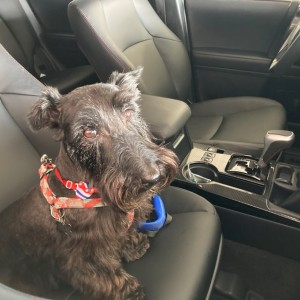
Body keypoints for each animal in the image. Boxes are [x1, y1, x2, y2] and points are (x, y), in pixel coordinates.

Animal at [0, 69, 178, 298]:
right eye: (89, 132)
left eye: (129, 112)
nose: (152, 176)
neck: (85, 189)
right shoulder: (83, 257)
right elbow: (107, 276)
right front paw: (129, 292)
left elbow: (124, 233)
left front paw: (134, 246)